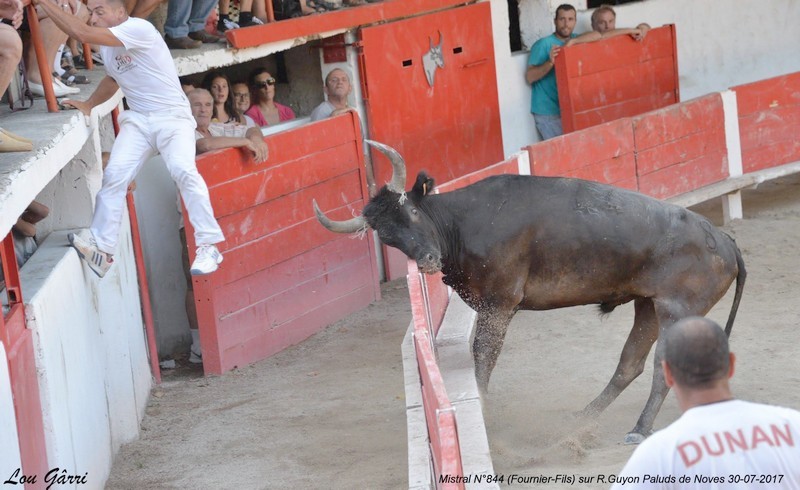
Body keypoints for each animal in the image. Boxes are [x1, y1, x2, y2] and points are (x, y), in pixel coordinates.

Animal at [312, 140, 744, 442]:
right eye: (388, 237)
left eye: (413, 211)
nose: (428, 260)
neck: (462, 223)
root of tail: (724, 240)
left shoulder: (499, 304)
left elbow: (483, 357)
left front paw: (485, 410)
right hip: (648, 306)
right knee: (629, 365)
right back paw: (583, 419)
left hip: (677, 309)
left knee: (660, 367)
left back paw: (638, 428)